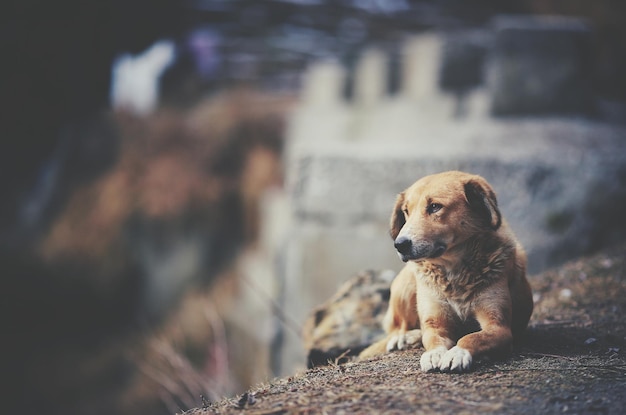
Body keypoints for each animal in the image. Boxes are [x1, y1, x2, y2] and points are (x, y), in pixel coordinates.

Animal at [358, 171, 528, 372]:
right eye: (406, 211)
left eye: (435, 207)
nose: (399, 244)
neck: (454, 273)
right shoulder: (435, 323)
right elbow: (433, 339)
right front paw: (433, 354)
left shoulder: (499, 327)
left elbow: (472, 337)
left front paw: (458, 352)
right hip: (405, 285)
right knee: (398, 327)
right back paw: (405, 337)